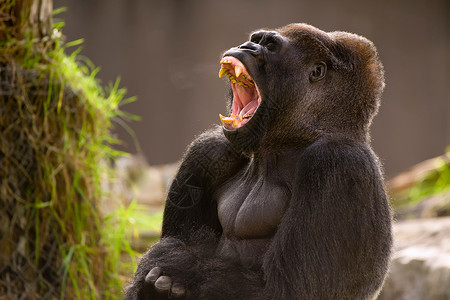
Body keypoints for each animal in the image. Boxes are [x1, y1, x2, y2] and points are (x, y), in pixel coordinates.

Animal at [125, 24, 392, 300]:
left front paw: (178, 264)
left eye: (270, 46)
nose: (246, 46)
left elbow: (285, 288)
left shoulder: (338, 161)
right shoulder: (209, 150)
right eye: (256, 40)